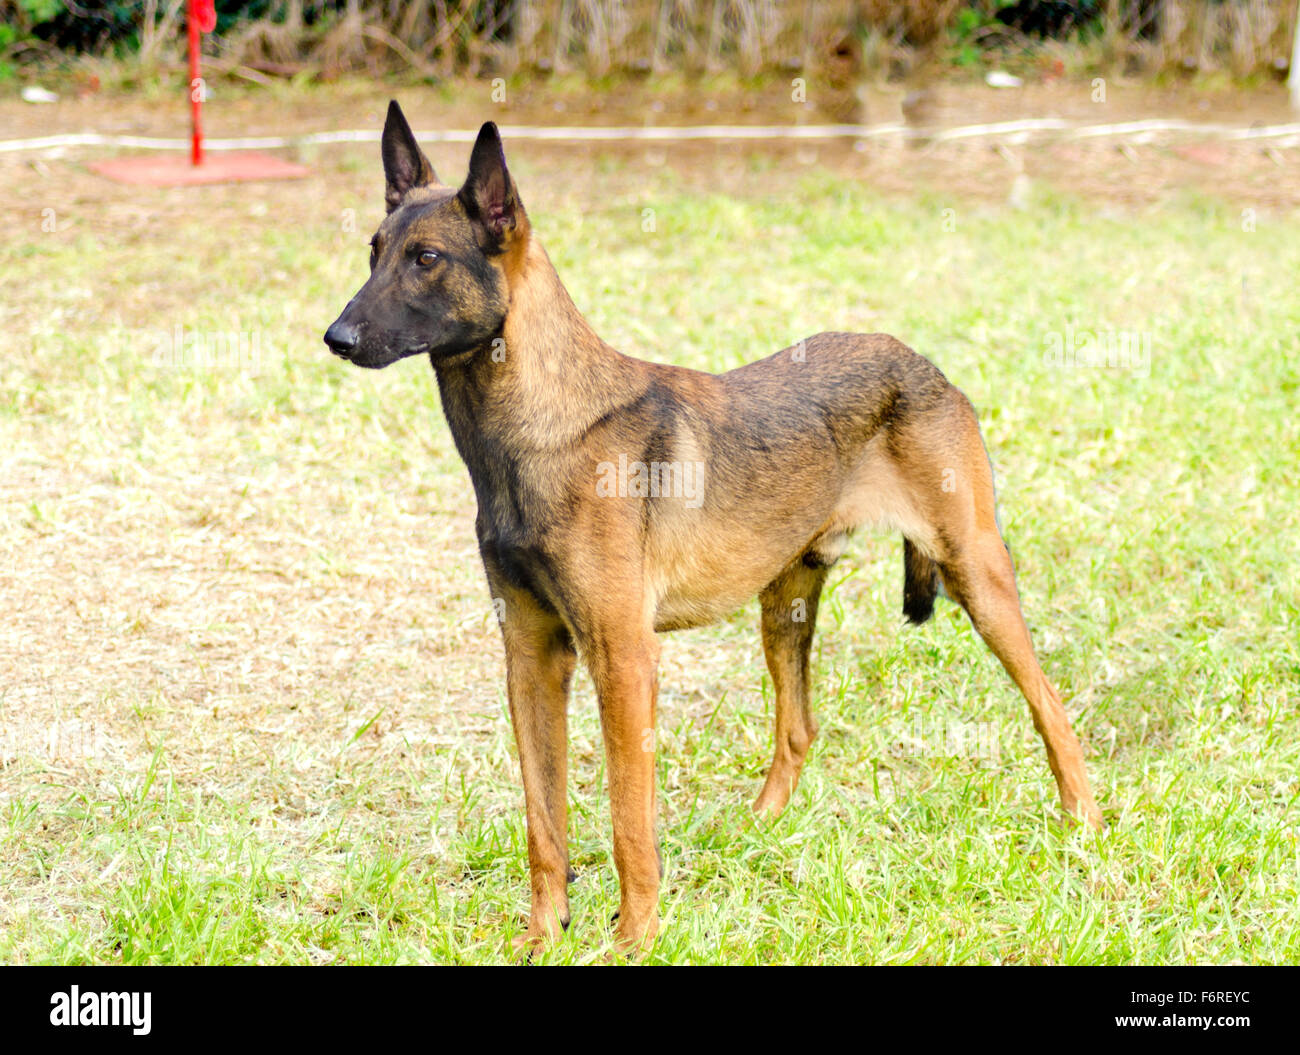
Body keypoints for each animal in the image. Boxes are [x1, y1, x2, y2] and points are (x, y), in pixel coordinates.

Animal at [322, 100, 1097, 956]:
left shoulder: (624, 659)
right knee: (798, 729)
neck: (541, 428)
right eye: (373, 252)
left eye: (426, 258)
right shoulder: (529, 658)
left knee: (1050, 702)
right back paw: (756, 829)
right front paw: (543, 937)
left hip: (976, 576)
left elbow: (629, 820)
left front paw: (634, 939)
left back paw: (1084, 824)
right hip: (784, 607)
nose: (337, 337)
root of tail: (917, 359)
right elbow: (543, 822)